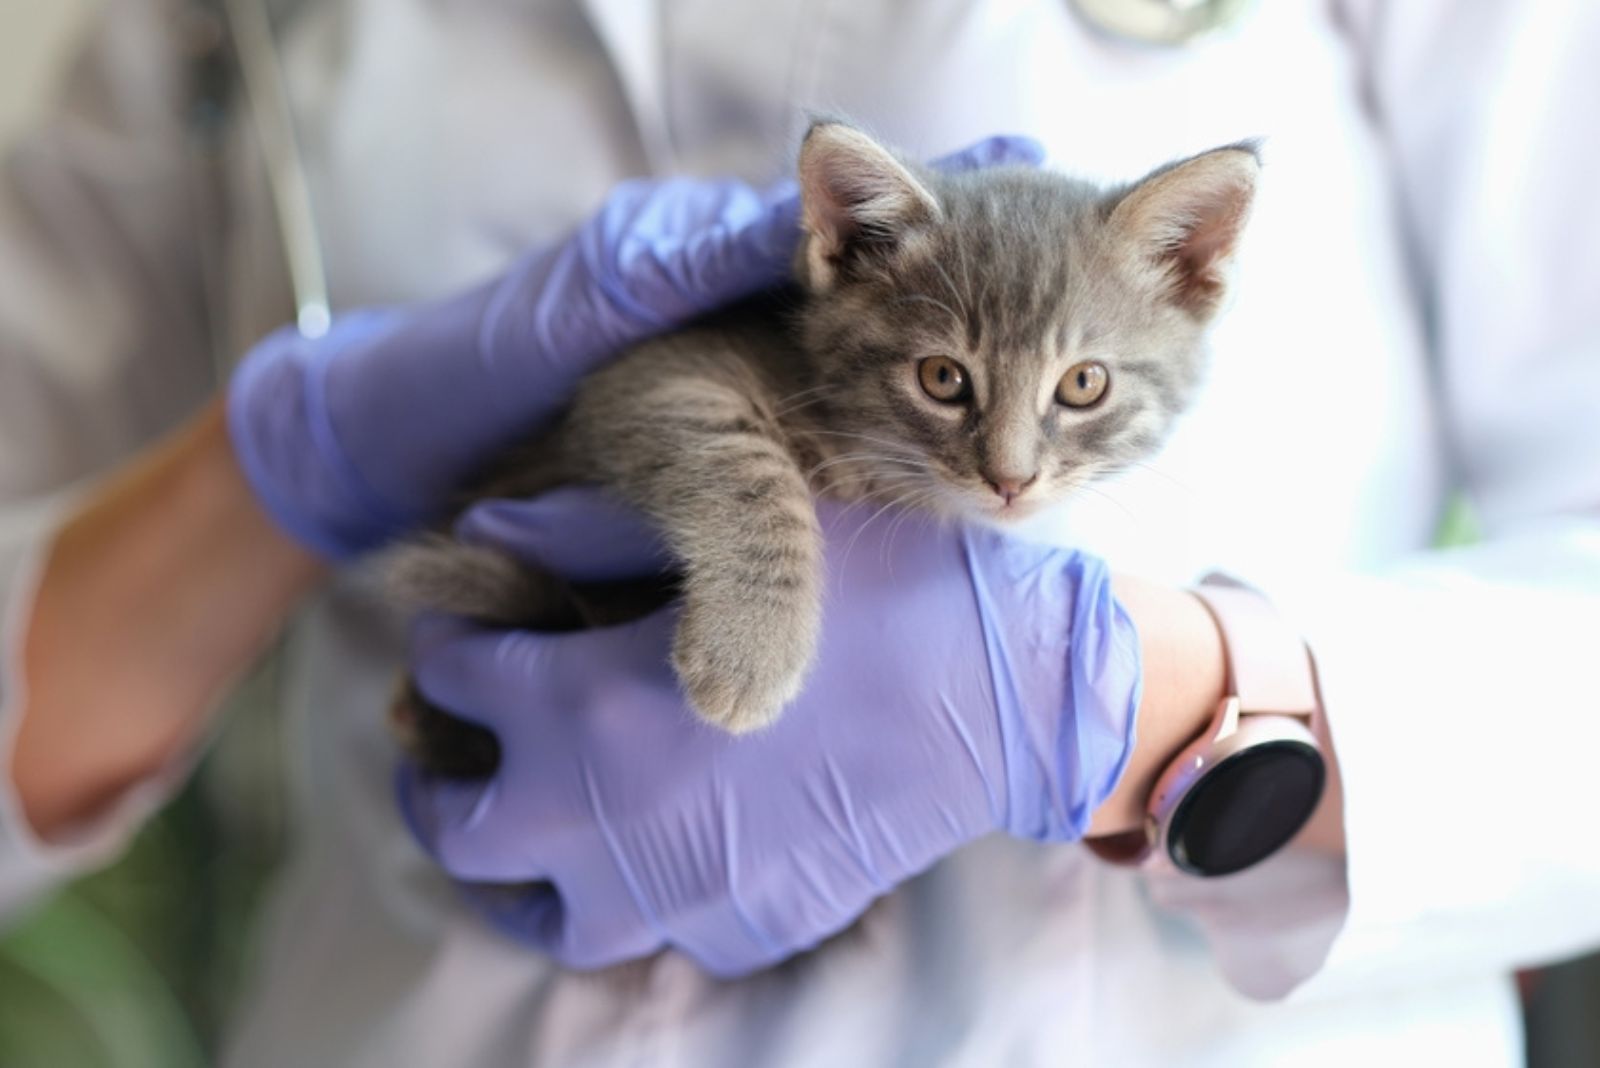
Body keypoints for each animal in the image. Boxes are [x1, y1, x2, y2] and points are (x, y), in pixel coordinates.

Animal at [390, 120, 1260, 777]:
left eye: (1083, 383)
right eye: (942, 377)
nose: (1010, 479)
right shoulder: (653, 373)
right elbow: (744, 468)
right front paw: (749, 650)